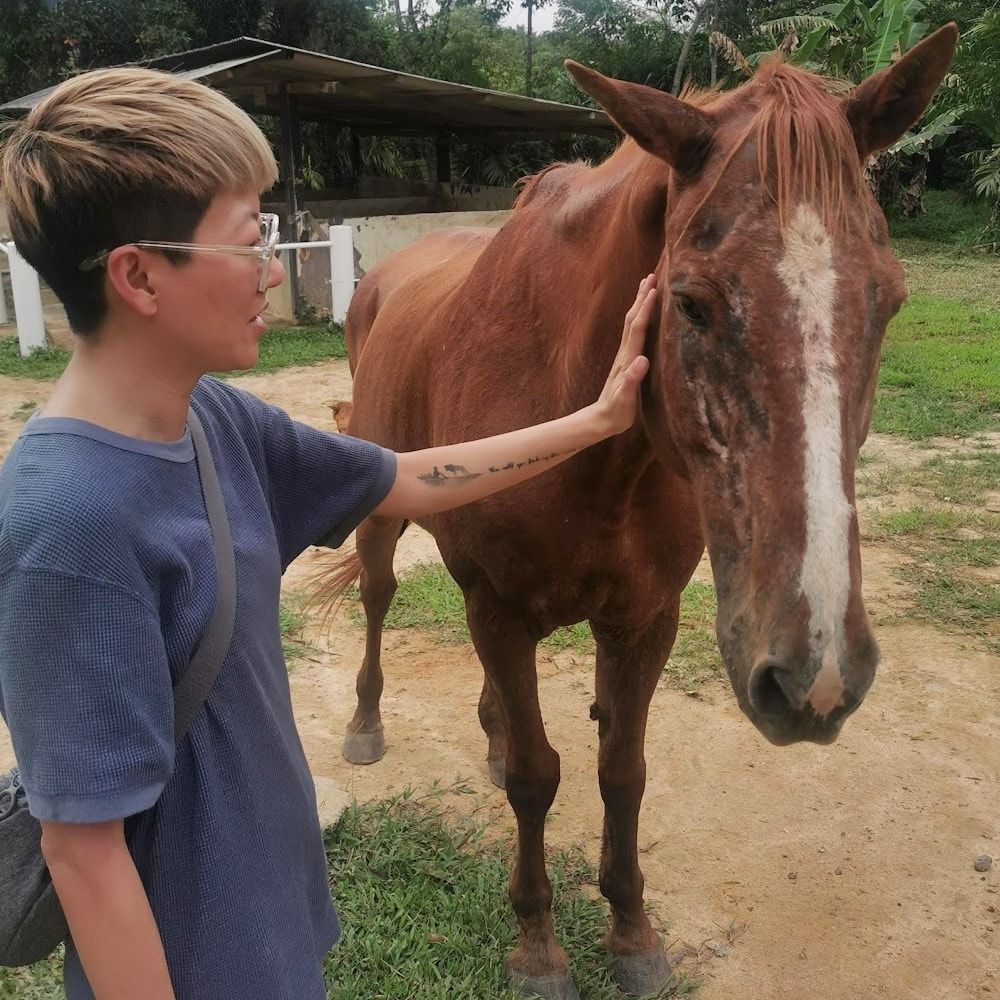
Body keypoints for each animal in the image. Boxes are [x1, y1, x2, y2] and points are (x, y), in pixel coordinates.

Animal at [323, 26, 958, 1000]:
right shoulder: (499, 611)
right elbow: (540, 780)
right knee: (378, 598)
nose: (814, 675)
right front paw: (539, 947)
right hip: (385, 521)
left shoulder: (644, 618)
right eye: (689, 302)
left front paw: (631, 933)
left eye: (888, 299)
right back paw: (365, 725)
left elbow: (620, 772)